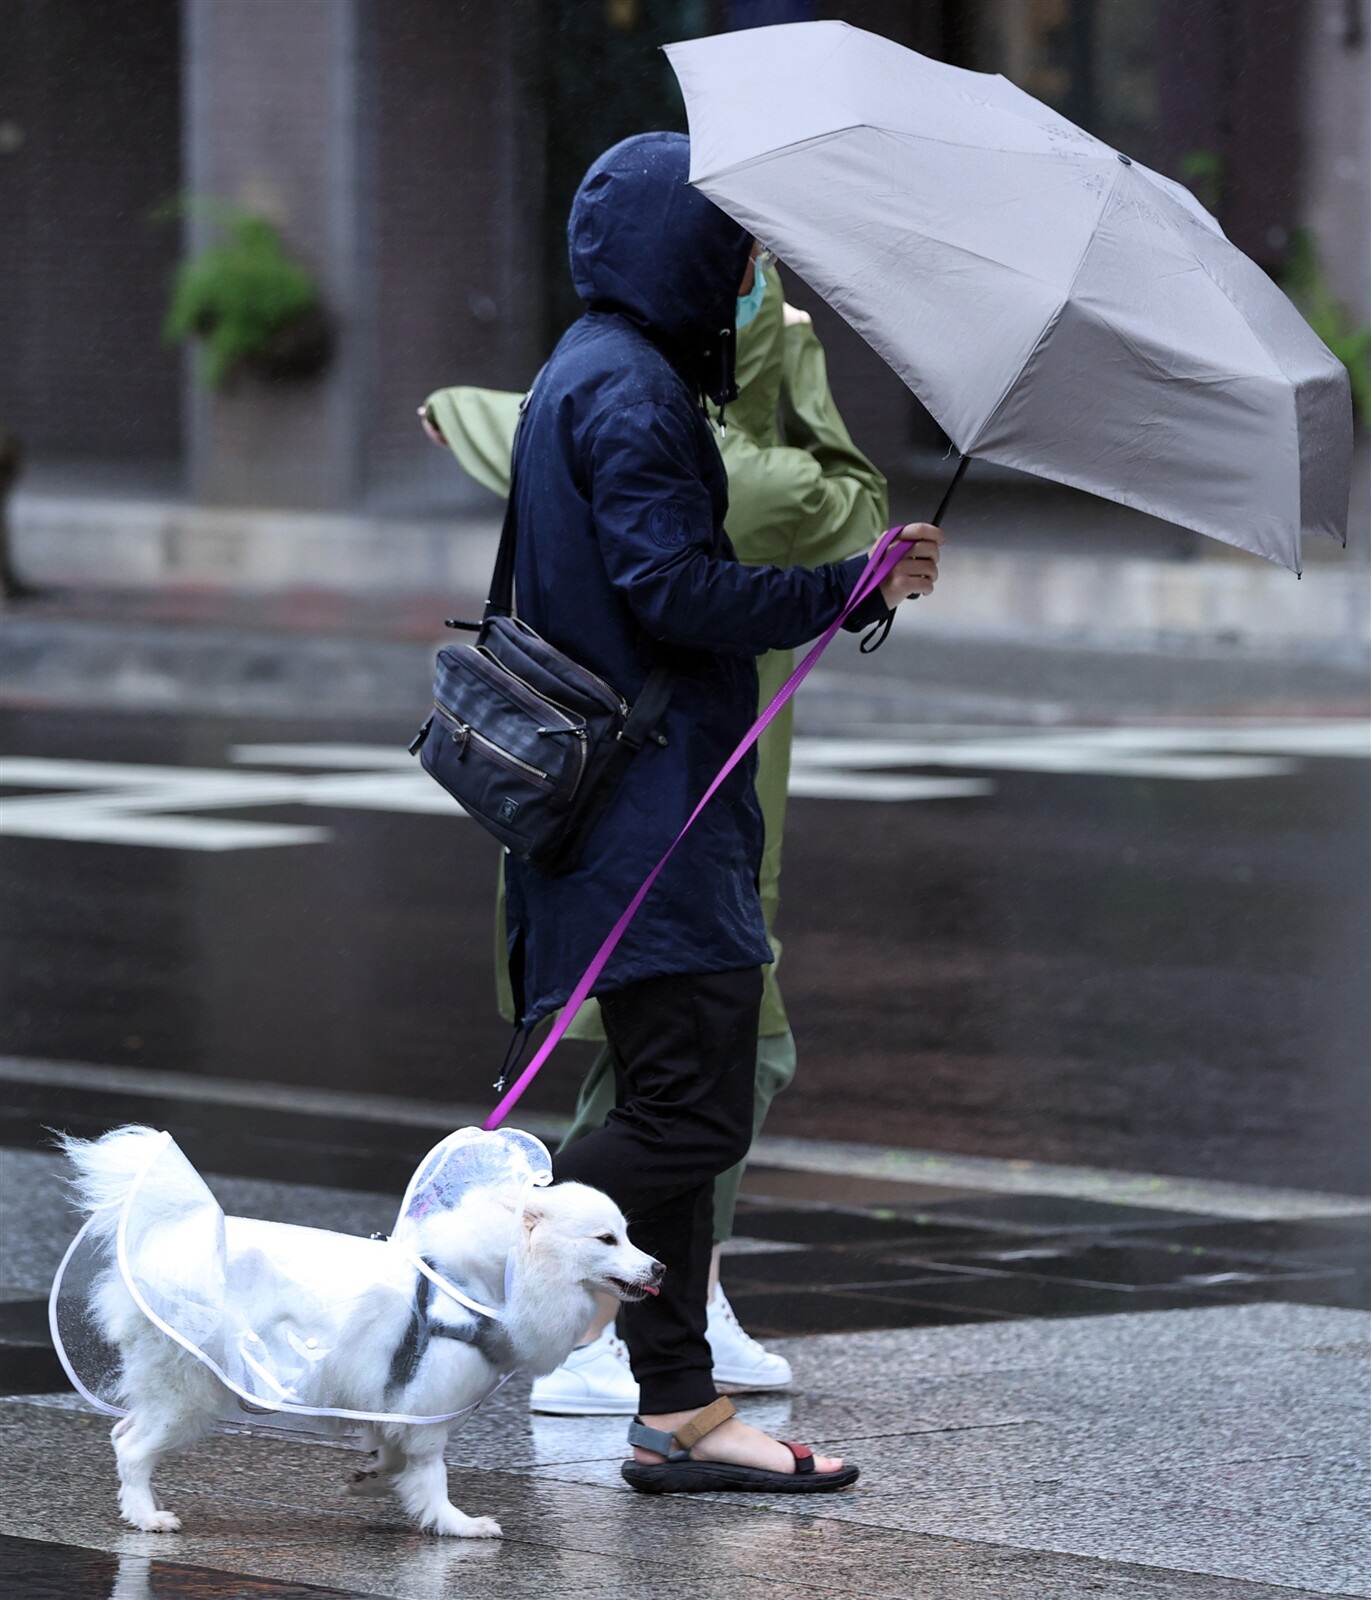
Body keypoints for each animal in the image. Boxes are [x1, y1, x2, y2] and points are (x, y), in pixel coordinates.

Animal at [61, 1120, 659, 1542]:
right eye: (607, 1239)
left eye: (630, 1235)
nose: (660, 1268)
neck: (480, 1280)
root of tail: (168, 1244)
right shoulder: (429, 1404)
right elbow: (432, 1473)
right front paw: (457, 1525)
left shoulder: (394, 1401)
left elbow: (394, 1456)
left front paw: (369, 1478)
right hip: (191, 1396)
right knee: (132, 1446)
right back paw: (147, 1517)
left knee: (122, 1432)